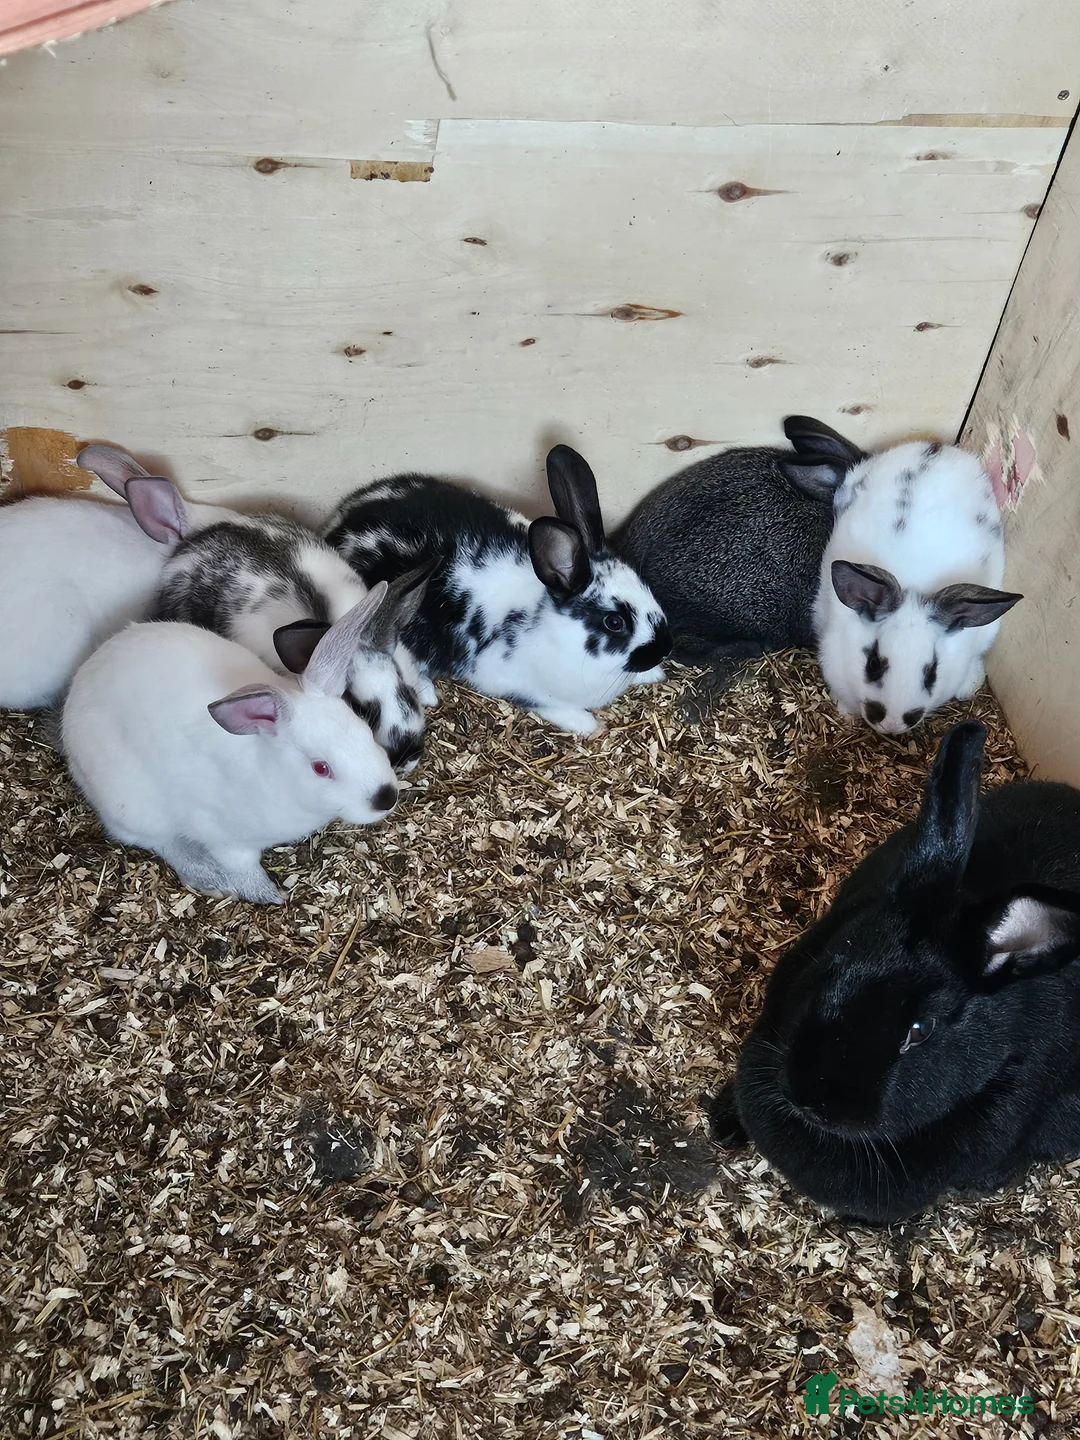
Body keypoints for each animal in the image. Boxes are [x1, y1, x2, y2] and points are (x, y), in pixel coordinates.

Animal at [61, 586, 400, 904]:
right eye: (320, 768)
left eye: (364, 730)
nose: (386, 798)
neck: (272, 771)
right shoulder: (224, 836)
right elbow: (242, 865)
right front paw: (267, 894)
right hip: (132, 804)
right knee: (157, 841)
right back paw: (206, 875)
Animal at [323, 445, 672, 736]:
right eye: (615, 622)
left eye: (645, 587)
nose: (664, 649)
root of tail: (337, 523)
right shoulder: (519, 686)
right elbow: (554, 708)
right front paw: (590, 725)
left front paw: (653, 675)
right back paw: (428, 693)